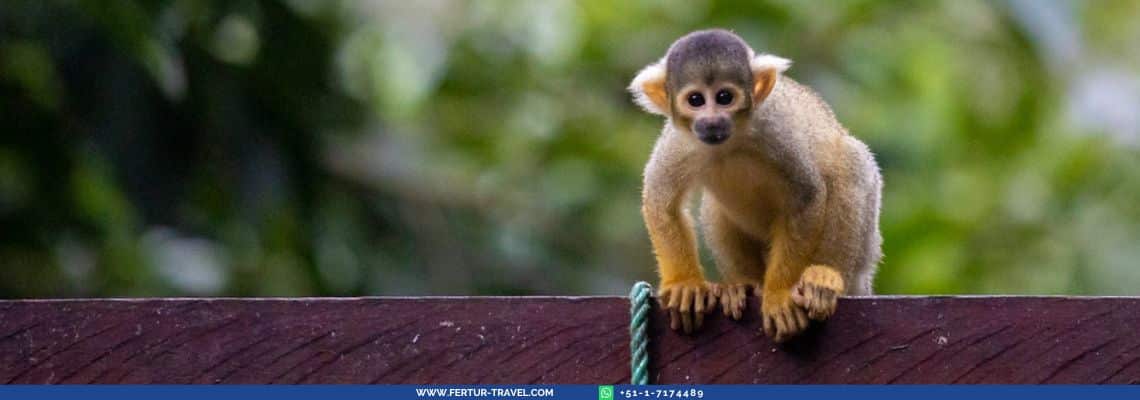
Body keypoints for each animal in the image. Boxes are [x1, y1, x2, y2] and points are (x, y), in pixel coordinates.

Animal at [629, 29, 882, 342]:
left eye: (724, 97)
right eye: (696, 100)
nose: (712, 122)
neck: (730, 144)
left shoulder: (776, 131)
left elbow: (807, 197)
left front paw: (779, 294)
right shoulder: (679, 141)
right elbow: (660, 201)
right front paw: (684, 283)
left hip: (866, 249)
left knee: (850, 164)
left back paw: (825, 276)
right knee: (714, 208)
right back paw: (745, 285)